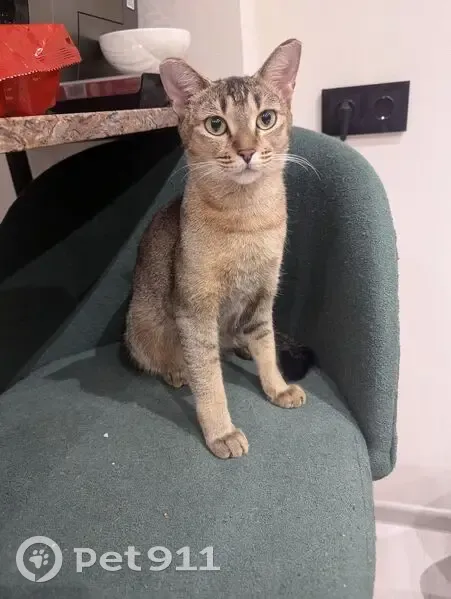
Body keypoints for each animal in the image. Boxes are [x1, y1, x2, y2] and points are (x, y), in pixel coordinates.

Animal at [125, 39, 312, 459]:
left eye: (266, 118)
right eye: (216, 125)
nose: (246, 151)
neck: (247, 221)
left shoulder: (262, 295)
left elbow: (266, 344)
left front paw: (275, 386)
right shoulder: (195, 311)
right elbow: (209, 377)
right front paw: (221, 432)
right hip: (143, 322)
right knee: (164, 359)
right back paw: (176, 370)